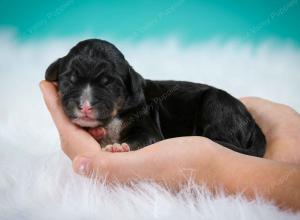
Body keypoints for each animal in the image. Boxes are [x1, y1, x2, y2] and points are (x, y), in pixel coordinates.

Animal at [45, 39, 266, 156]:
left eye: (108, 83)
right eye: (70, 79)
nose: (85, 106)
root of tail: (253, 123)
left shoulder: (147, 127)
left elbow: (141, 138)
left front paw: (119, 146)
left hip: (215, 104)